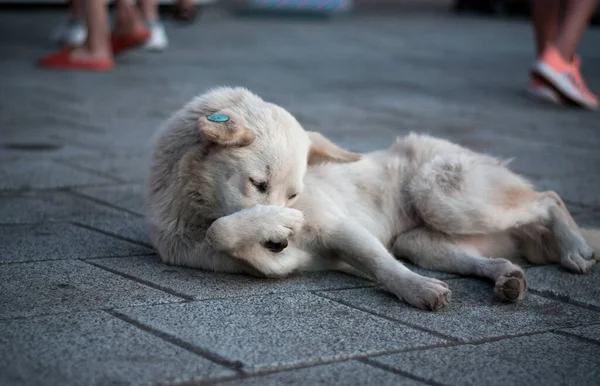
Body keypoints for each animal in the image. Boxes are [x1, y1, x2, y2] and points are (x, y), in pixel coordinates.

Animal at [146, 86, 600, 310]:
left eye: (293, 193)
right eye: (257, 184)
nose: (279, 243)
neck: (195, 205)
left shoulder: (339, 227)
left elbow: (384, 266)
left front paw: (418, 290)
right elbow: (221, 234)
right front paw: (264, 231)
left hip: (442, 197)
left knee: (549, 197)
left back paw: (574, 248)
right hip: (422, 241)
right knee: (493, 257)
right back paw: (508, 279)